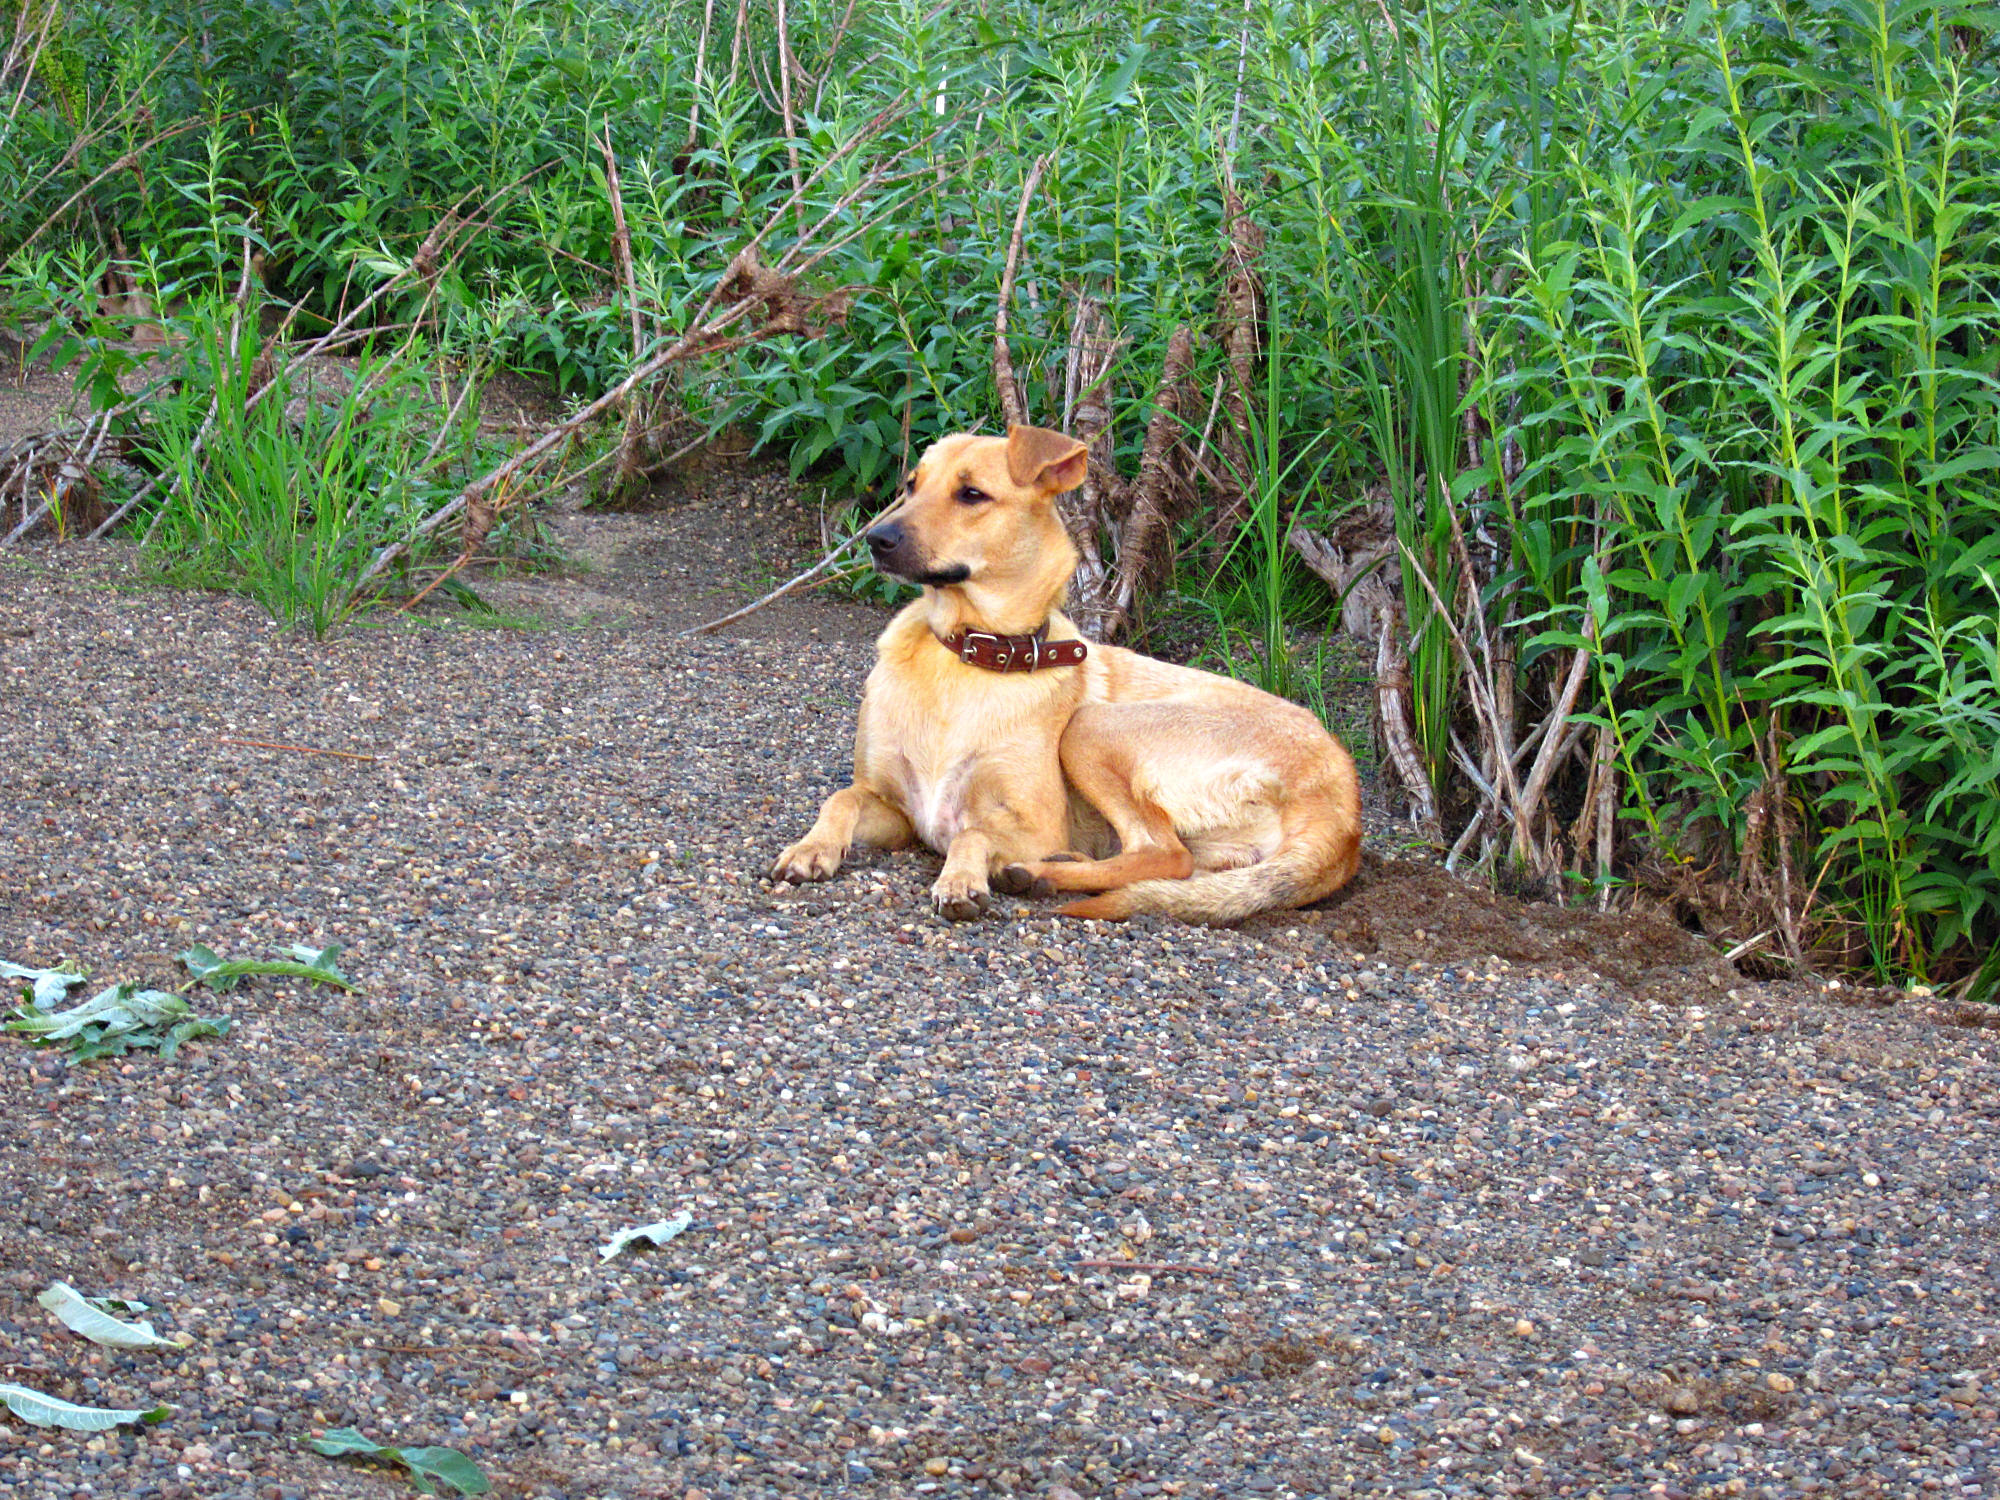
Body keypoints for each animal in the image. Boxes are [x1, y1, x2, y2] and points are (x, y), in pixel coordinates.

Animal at [771, 424, 1362, 922]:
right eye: (912, 486)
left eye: (971, 495)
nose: (876, 539)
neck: (969, 656)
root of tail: (1343, 803)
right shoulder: (901, 812)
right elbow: (843, 797)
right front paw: (811, 848)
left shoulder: (1031, 825)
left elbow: (973, 833)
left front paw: (962, 879)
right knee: (1177, 865)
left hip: (1091, 729)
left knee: (1163, 854)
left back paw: (1036, 873)